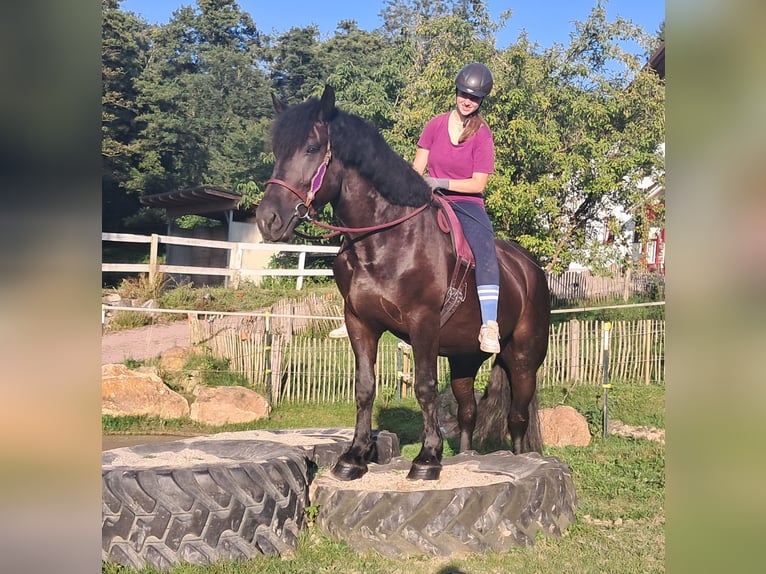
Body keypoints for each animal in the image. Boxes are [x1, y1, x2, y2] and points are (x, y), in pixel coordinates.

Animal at [256, 85, 550, 481]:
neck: (385, 240)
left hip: (523, 358)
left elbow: (424, 388)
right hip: (464, 359)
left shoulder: (423, 323)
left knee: (517, 417)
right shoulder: (359, 323)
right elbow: (365, 387)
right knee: (468, 412)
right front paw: (355, 456)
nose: (268, 219)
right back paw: (465, 456)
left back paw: (519, 460)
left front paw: (427, 458)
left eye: (312, 148)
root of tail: (531, 268)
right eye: (278, 151)